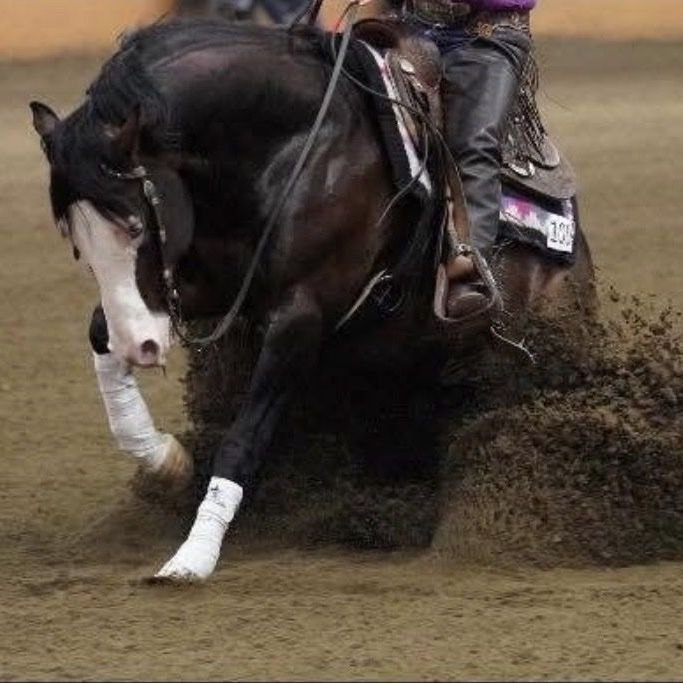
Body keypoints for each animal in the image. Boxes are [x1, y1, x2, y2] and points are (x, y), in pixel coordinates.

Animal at [30, 17, 595, 582]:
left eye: (135, 224)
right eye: (75, 241)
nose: (139, 346)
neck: (292, 147)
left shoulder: (301, 315)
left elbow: (244, 437)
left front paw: (192, 556)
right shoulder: (218, 287)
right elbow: (99, 329)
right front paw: (165, 460)